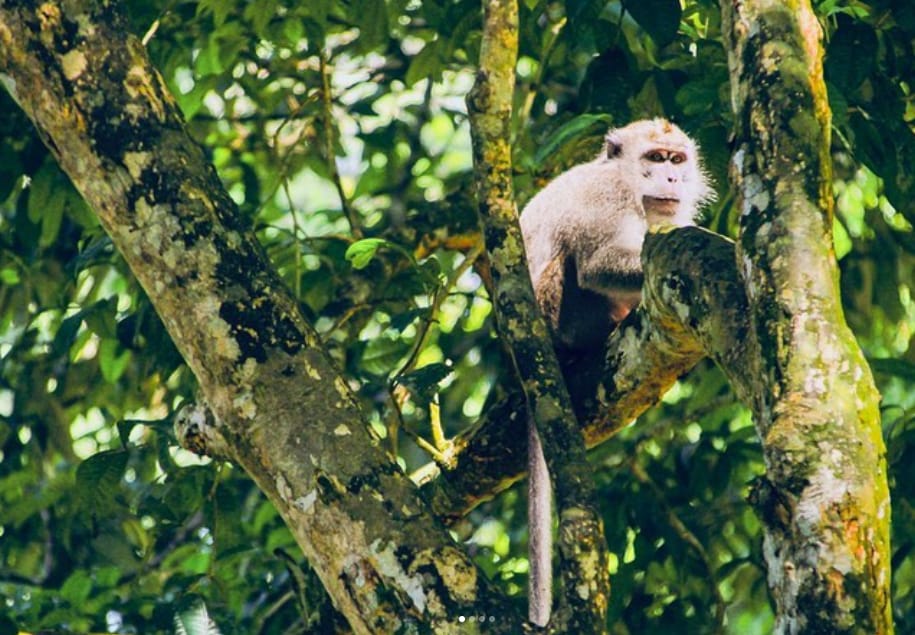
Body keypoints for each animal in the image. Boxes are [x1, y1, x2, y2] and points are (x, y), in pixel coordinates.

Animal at [520, 119, 712, 628]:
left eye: (677, 160)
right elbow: (598, 265)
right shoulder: (609, 196)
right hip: (558, 310)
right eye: (655, 159)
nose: (672, 178)